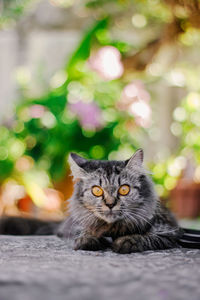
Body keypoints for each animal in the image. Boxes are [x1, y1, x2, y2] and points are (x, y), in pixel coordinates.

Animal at [0, 149, 200, 252]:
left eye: (124, 189)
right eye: (97, 191)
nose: (110, 204)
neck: (112, 229)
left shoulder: (169, 231)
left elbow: (147, 237)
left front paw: (126, 242)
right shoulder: (78, 227)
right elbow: (85, 234)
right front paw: (89, 240)